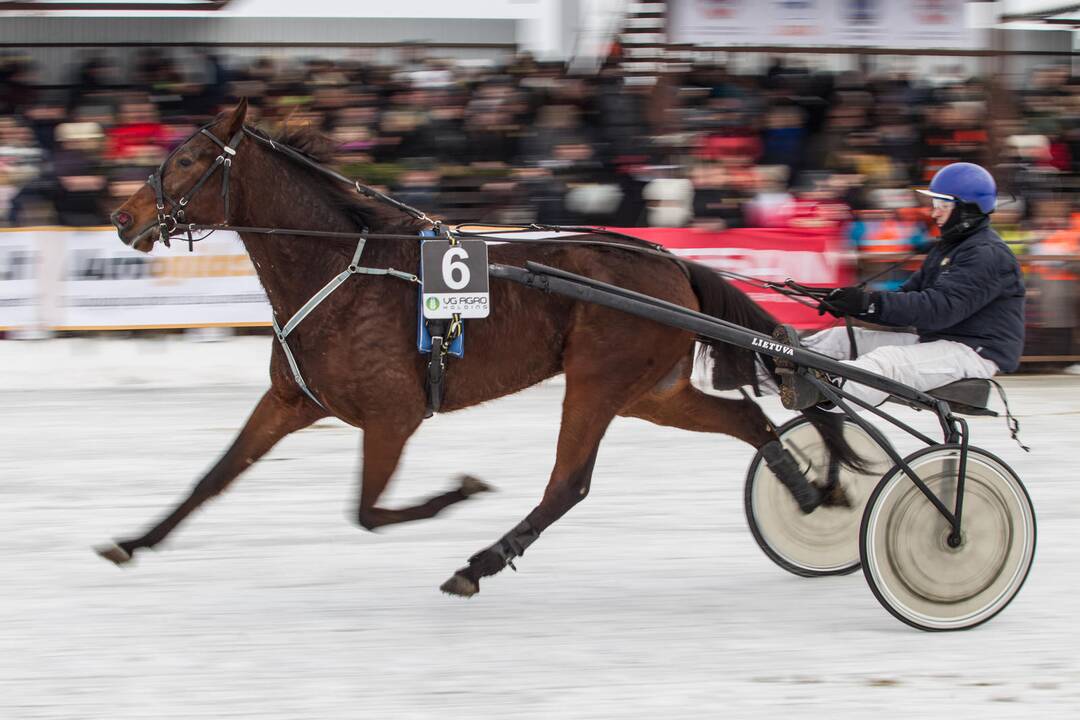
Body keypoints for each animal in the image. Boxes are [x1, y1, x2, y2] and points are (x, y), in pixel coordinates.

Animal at [105, 101, 855, 595]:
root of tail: (670, 260)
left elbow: (367, 512)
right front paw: (134, 541)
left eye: (190, 160)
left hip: (598, 379)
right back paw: (811, 493)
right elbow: (214, 477)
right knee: (747, 419)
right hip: (651, 391)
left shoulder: (393, 415)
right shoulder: (291, 400)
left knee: (568, 483)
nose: (121, 215)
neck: (342, 269)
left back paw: (480, 563)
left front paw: (459, 491)